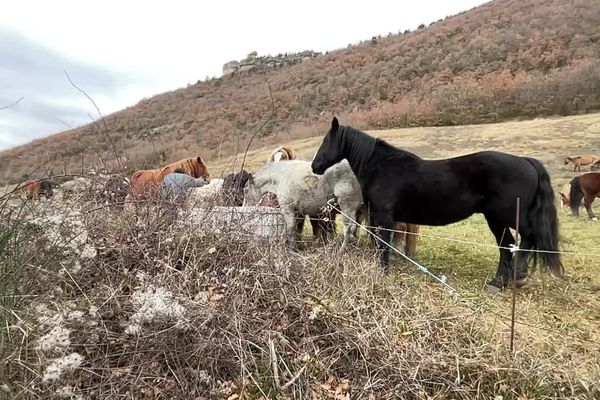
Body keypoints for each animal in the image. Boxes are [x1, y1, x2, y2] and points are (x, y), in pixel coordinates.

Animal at [312, 117, 564, 290]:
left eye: (326, 141)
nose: (315, 166)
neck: (381, 166)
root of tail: (526, 161)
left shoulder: (383, 215)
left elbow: (383, 244)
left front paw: (382, 273)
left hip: (508, 215)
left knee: (527, 238)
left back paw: (517, 276)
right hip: (495, 218)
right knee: (506, 245)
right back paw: (498, 282)